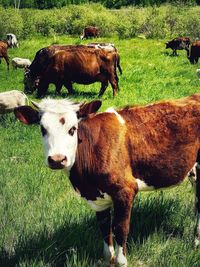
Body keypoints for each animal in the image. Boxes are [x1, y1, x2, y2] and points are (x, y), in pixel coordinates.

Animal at [13, 93, 200, 266]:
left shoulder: (125, 190)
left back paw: (195, 242)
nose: (57, 159)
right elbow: (105, 231)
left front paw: (122, 261)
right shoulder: (98, 199)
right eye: (42, 129)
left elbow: (120, 229)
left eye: (73, 129)